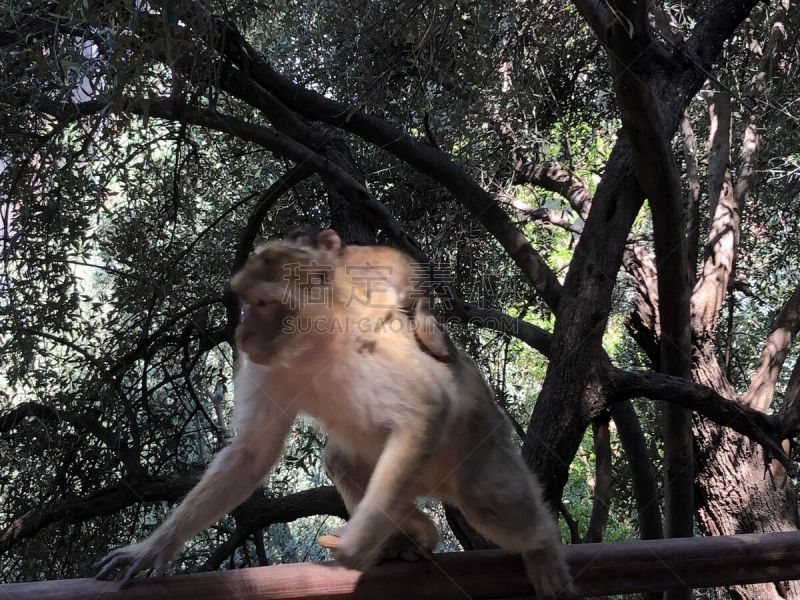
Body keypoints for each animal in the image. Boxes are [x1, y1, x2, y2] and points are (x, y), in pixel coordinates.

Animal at [97, 229, 572, 596]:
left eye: (263, 304)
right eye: (245, 302)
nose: (242, 333)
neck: (314, 344)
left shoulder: (369, 338)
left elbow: (429, 407)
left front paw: (356, 545)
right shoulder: (268, 368)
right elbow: (251, 454)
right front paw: (153, 549)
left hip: (480, 443)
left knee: (488, 498)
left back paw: (541, 546)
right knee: (343, 461)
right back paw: (415, 533)